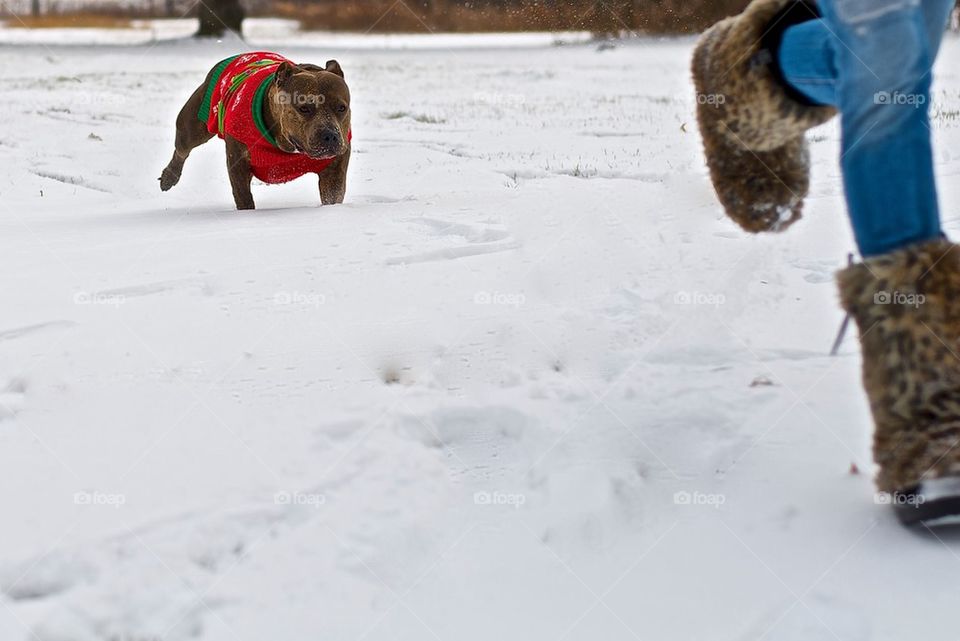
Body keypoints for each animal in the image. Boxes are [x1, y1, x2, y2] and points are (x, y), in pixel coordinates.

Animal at [161, 52, 352, 210]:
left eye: (341, 108)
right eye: (304, 108)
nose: (330, 135)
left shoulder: (334, 170)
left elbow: (332, 196)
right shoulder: (238, 163)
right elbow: (244, 198)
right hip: (193, 125)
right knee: (182, 149)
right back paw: (169, 177)